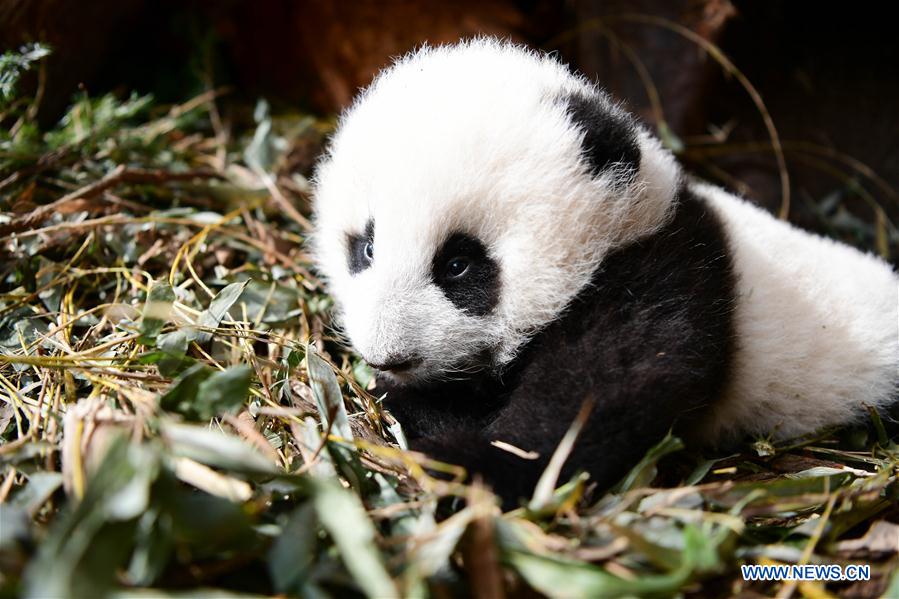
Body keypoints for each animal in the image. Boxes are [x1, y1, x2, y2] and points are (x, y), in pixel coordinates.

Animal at [311, 38, 899, 505]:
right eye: (365, 248)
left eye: (458, 264)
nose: (387, 354)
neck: (630, 221)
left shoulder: (661, 276)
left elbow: (603, 391)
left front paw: (469, 460)